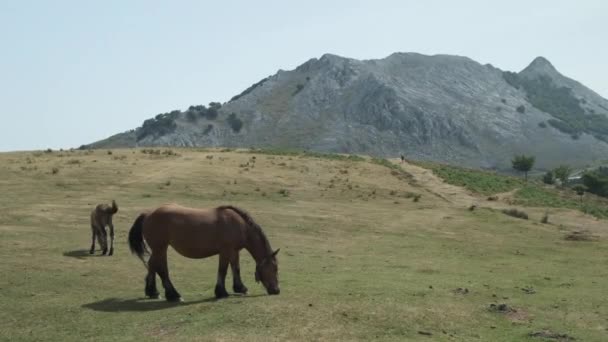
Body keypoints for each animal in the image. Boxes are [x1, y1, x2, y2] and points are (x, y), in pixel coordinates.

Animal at [129, 204, 282, 300]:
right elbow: (223, 270)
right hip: (160, 248)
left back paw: (153, 292)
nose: (276, 290)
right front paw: (221, 292)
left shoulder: (234, 251)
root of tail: (148, 214)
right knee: (161, 269)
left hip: (159, 249)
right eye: (274, 268)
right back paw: (173, 295)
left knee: (152, 265)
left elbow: (235, 268)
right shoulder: (225, 251)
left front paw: (240, 288)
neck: (240, 225)